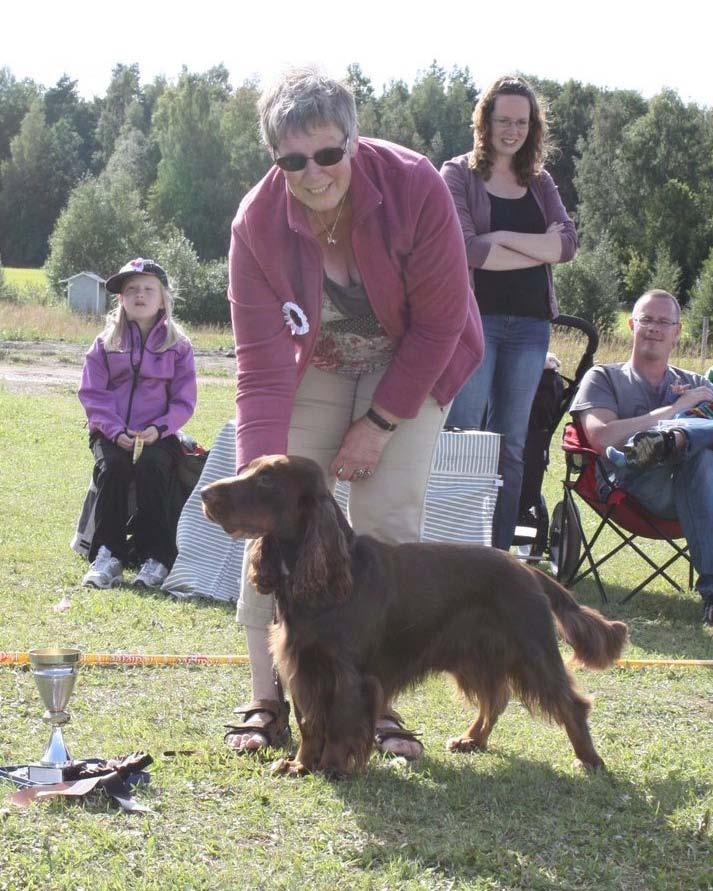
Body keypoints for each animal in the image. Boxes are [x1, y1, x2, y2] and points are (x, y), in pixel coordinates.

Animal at [200, 456, 624, 776]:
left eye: (267, 479)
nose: (204, 493)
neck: (324, 580)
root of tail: (529, 570)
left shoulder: (347, 674)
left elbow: (338, 724)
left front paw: (333, 768)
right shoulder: (303, 667)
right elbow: (309, 724)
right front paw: (300, 765)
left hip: (531, 651)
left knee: (569, 704)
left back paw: (589, 760)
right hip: (476, 654)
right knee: (496, 697)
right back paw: (472, 739)